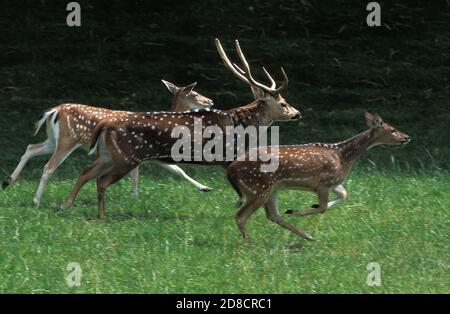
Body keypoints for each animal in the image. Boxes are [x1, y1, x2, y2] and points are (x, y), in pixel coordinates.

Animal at [1, 80, 214, 206]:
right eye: (194, 93)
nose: (210, 101)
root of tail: (53, 111)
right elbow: (137, 176)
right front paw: (135, 198)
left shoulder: (152, 156)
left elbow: (178, 171)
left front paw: (205, 188)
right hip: (67, 140)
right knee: (48, 166)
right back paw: (36, 200)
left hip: (54, 139)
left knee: (30, 148)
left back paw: (8, 181)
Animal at [64, 38, 302, 218]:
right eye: (283, 103)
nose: (297, 113)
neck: (240, 124)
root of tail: (106, 124)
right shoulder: (227, 155)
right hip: (127, 156)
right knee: (101, 181)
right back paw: (102, 216)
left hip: (108, 155)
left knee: (86, 173)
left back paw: (67, 206)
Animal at [227, 112, 410, 240]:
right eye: (392, 130)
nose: (407, 137)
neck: (344, 155)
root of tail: (231, 169)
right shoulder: (323, 183)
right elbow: (323, 208)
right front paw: (299, 210)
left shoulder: (334, 183)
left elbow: (344, 195)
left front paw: (299, 209)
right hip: (258, 187)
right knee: (240, 216)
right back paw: (250, 243)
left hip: (272, 188)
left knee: (273, 215)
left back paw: (308, 237)